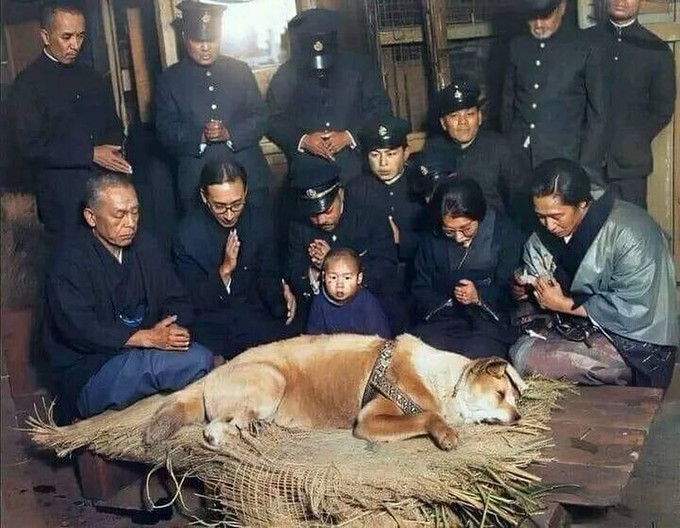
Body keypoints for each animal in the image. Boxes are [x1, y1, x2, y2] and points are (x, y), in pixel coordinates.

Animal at [143, 334, 524, 450]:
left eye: (513, 397)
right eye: (500, 394)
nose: (519, 417)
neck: (444, 381)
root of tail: (211, 375)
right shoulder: (370, 420)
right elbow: (427, 416)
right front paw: (445, 433)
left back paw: (253, 429)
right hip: (271, 381)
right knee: (213, 428)